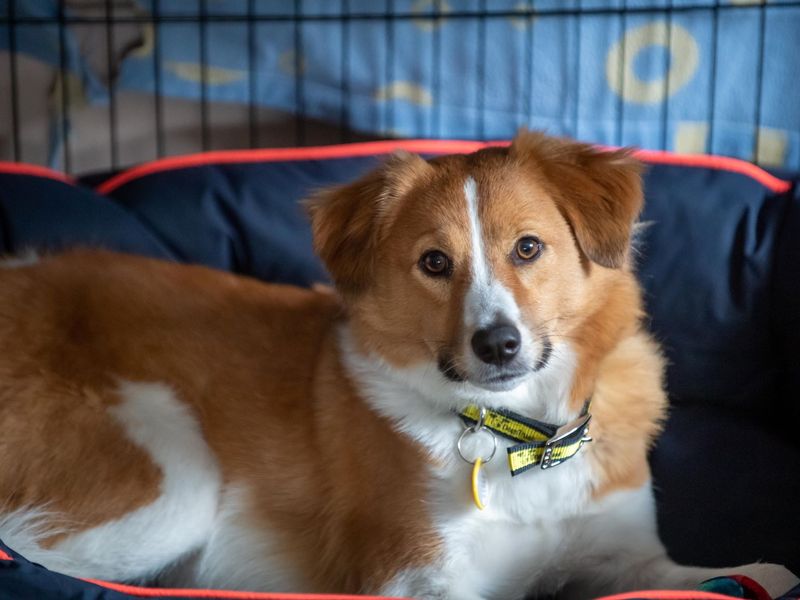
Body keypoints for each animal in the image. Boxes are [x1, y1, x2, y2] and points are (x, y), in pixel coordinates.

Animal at [0, 132, 796, 600]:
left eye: (528, 248)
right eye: (434, 263)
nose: (498, 345)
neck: (520, 439)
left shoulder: (628, 557)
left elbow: (734, 573)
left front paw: (763, 571)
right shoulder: (418, 580)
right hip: (175, 479)